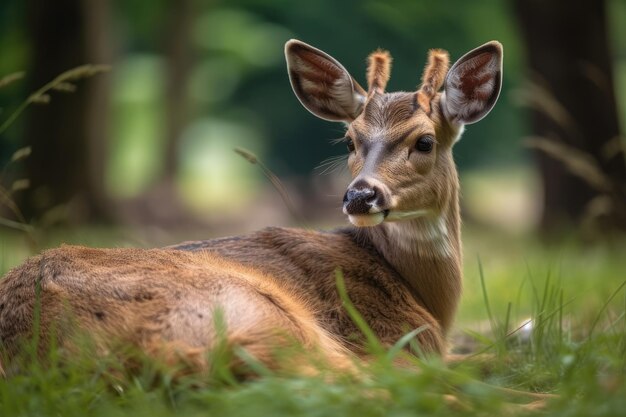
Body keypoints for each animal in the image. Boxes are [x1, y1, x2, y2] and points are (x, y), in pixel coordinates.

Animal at [0, 39, 500, 376]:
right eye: (349, 140)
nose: (360, 195)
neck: (428, 298)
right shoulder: (395, 341)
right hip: (267, 319)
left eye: (425, 141)